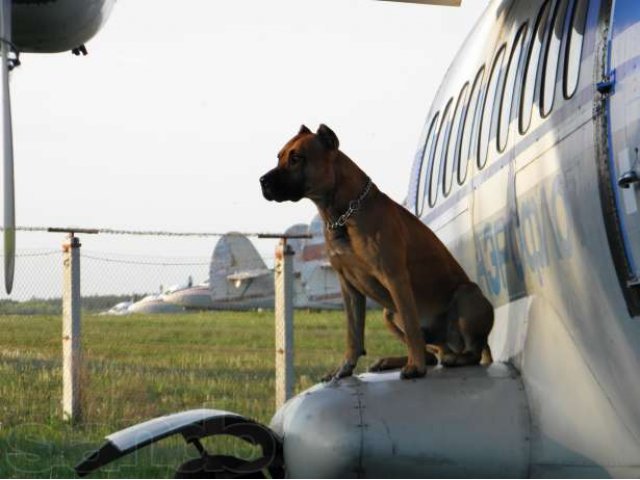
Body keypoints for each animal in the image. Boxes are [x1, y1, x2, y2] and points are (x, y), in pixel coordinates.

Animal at [260, 125, 496, 380]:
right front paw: (344, 367)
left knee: (471, 352)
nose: (262, 181)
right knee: (433, 354)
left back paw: (453, 358)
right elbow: (353, 333)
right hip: (388, 313)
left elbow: (412, 326)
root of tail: (449, 346)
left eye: (296, 158)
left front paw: (415, 367)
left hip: (467, 296)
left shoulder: (395, 277)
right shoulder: (348, 286)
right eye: (279, 157)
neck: (341, 214)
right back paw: (390, 361)